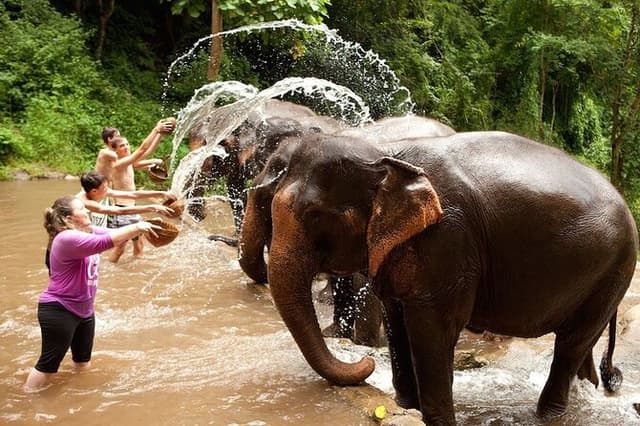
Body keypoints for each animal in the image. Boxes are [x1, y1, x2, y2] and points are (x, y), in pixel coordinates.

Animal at [240, 130, 637, 424]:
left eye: (315, 215)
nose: (365, 365)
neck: (387, 154)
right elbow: (396, 319)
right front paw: (405, 406)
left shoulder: (448, 240)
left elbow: (432, 329)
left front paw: (437, 419)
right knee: (581, 343)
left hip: (617, 268)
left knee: (571, 342)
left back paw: (548, 416)